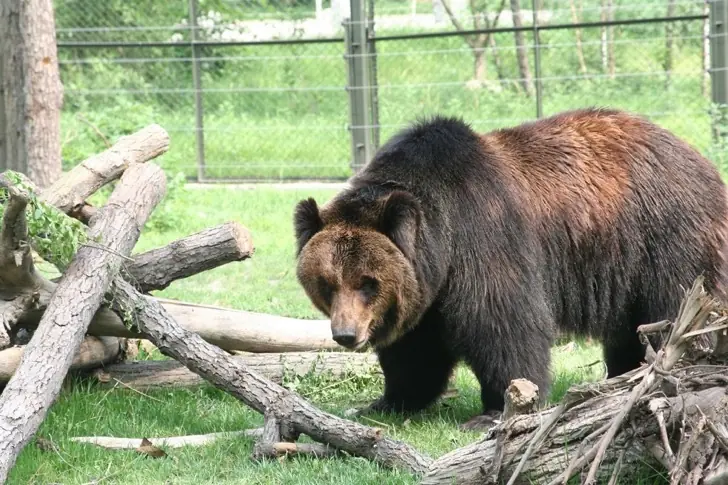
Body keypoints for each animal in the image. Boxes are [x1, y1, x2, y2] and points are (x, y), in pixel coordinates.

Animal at [292, 108, 728, 430]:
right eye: (327, 284)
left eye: (367, 283)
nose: (346, 334)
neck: (441, 239)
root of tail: (698, 158)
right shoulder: (425, 286)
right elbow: (415, 348)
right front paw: (385, 401)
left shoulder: (483, 236)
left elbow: (502, 322)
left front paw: (492, 412)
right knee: (628, 328)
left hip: (665, 236)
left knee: (676, 309)